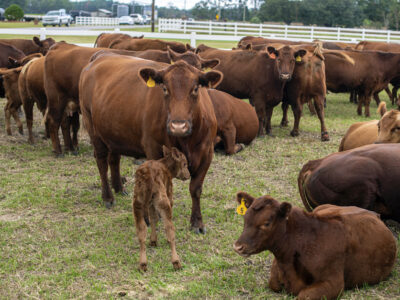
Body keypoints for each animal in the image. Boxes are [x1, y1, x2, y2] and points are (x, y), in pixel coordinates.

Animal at [79, 55, 222, 233]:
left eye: (196, 88)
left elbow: (196, 189)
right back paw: (108, 197)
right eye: (165, 88)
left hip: (114, 132)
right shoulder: (153, 149)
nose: (178, 126)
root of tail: (99, 57)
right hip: (93, 127)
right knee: (101, 162)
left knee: (114, 159)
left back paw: (119, 188)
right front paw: (153, 216)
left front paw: (197, 223)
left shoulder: (207, 153)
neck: (186, 141)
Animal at [233, 192, 396, 300]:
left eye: (266, 223)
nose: (238, 246)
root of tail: (373, 212)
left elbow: (303, 296)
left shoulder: (334, 283)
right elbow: (273, 283)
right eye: (245, 218)